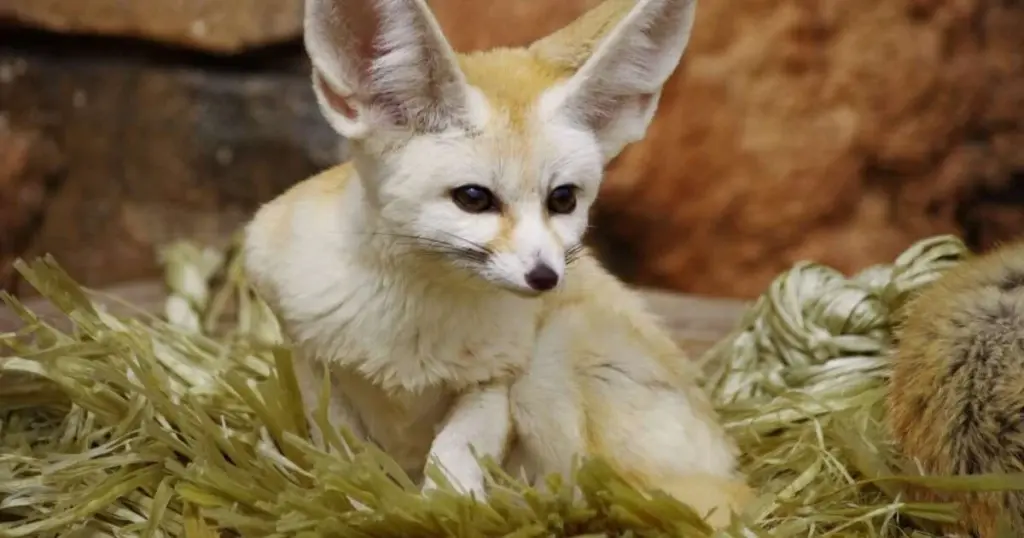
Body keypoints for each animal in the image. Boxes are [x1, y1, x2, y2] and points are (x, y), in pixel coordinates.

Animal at [242, 0, 754, 528]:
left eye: (563, 199)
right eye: (473, 198)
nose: (545, 277)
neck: (409, 328)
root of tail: (730, 462)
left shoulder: (495, 380)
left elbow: (451, 459)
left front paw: (448, 512)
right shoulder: (317, 368)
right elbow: (347, 462)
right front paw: (358, 509)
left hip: (549, 365)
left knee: (595, 490)